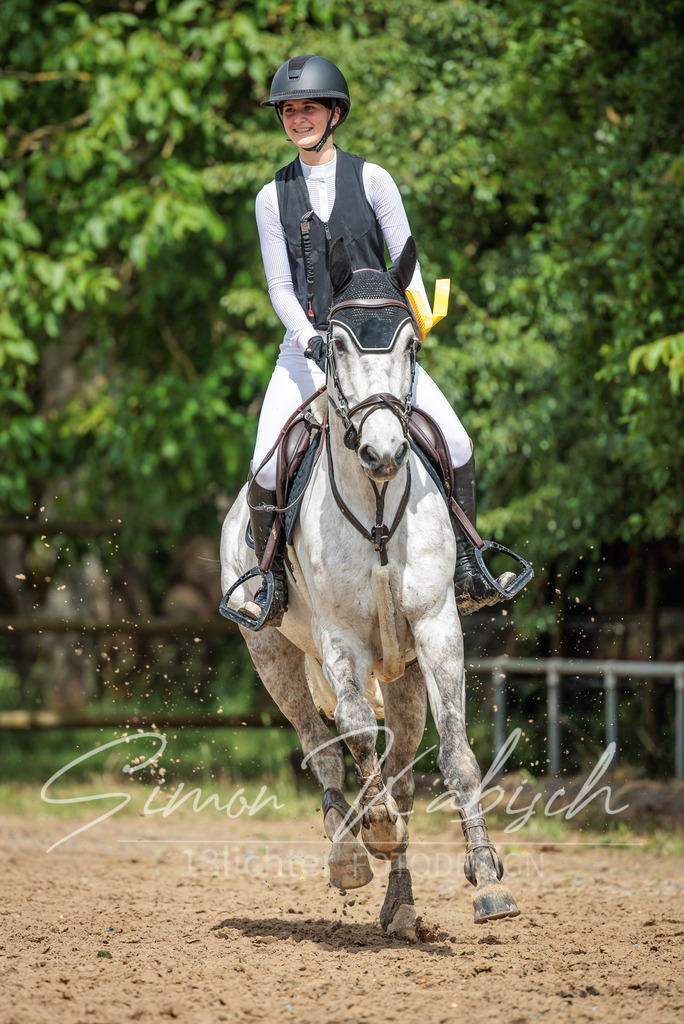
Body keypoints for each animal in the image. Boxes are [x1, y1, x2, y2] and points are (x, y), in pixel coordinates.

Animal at [219, 236, 520, 940]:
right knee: (320, 743)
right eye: (335, 344)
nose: (384, 453)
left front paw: (488, 879)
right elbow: (354, 729)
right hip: (272, 655)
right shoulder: (340, 639)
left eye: (411, 342)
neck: (379, 509)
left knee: (405, 767)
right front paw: (372, 828)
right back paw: (351, 851)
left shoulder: (437, 627)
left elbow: (457, 754)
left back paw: (401, 904)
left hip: (402, 669)